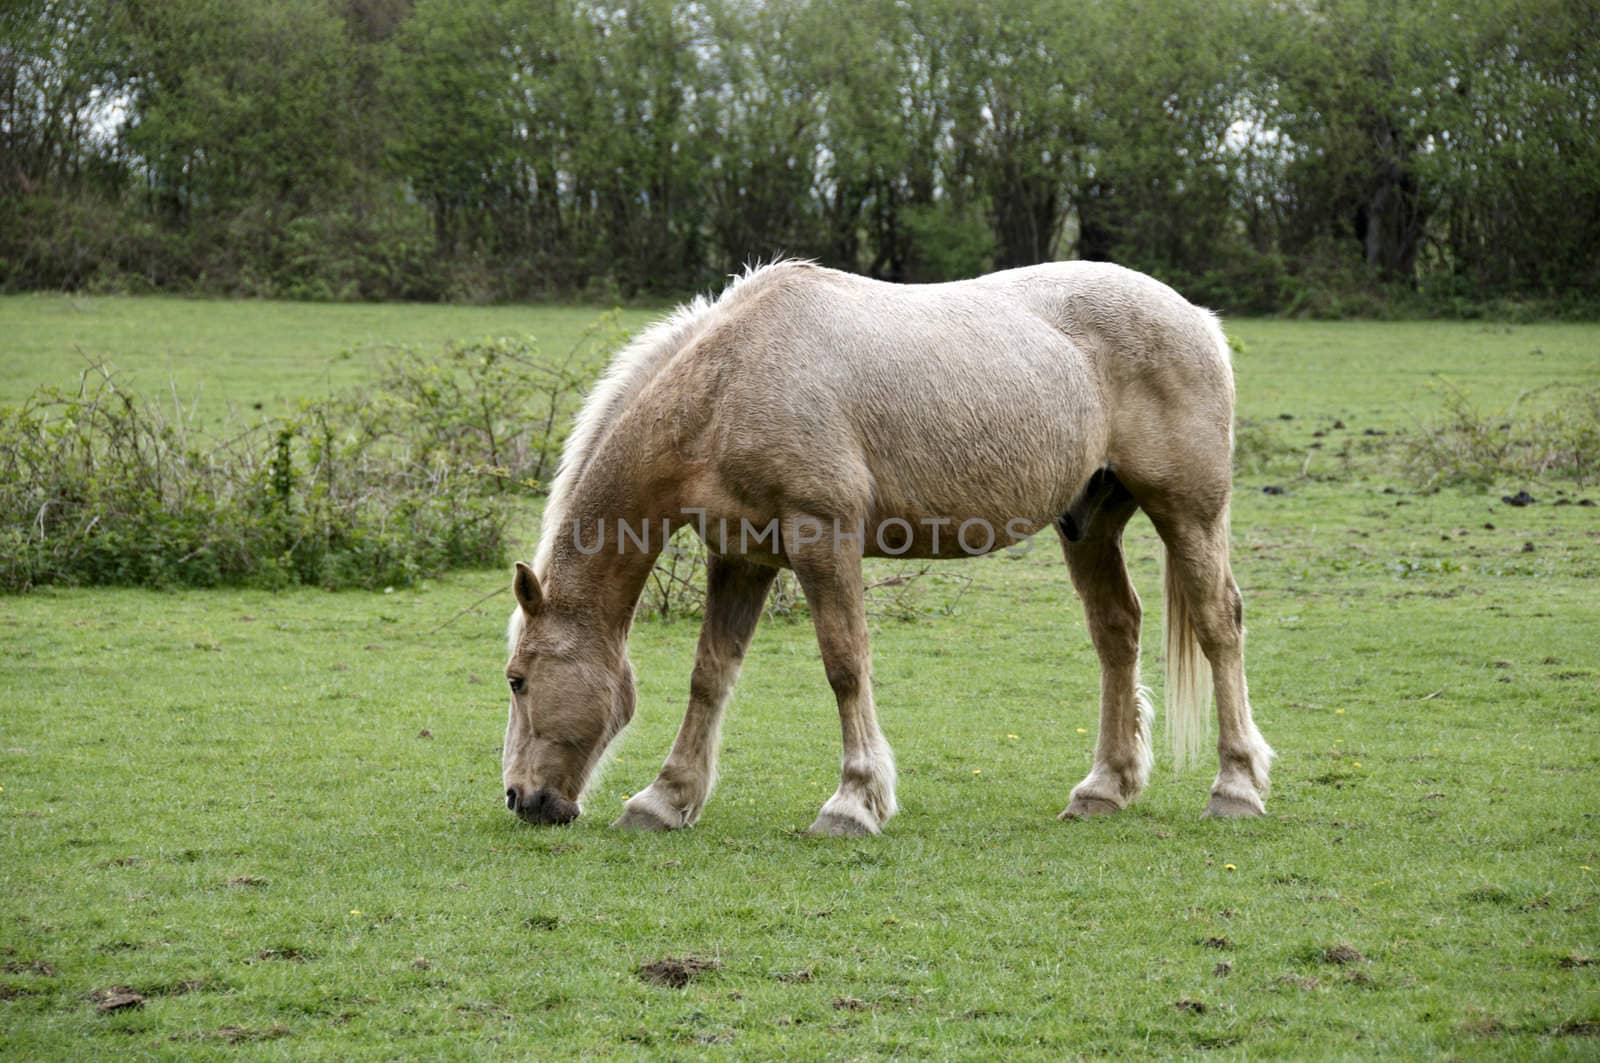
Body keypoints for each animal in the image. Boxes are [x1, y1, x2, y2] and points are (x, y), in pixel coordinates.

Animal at [499, 260, 1273, 832]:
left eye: (516, 678)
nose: (521, 799)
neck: (731, 380)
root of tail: (1196, 318)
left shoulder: (823, 538)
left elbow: (845, 665)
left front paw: (854, 802)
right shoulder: (742, 556)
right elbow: (710, 674)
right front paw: (664, 799)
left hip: (1189, 513)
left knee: (1219, 623)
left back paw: (1235, 786)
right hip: (1090, 521)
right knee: (1117, 632)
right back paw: (1104, 789)